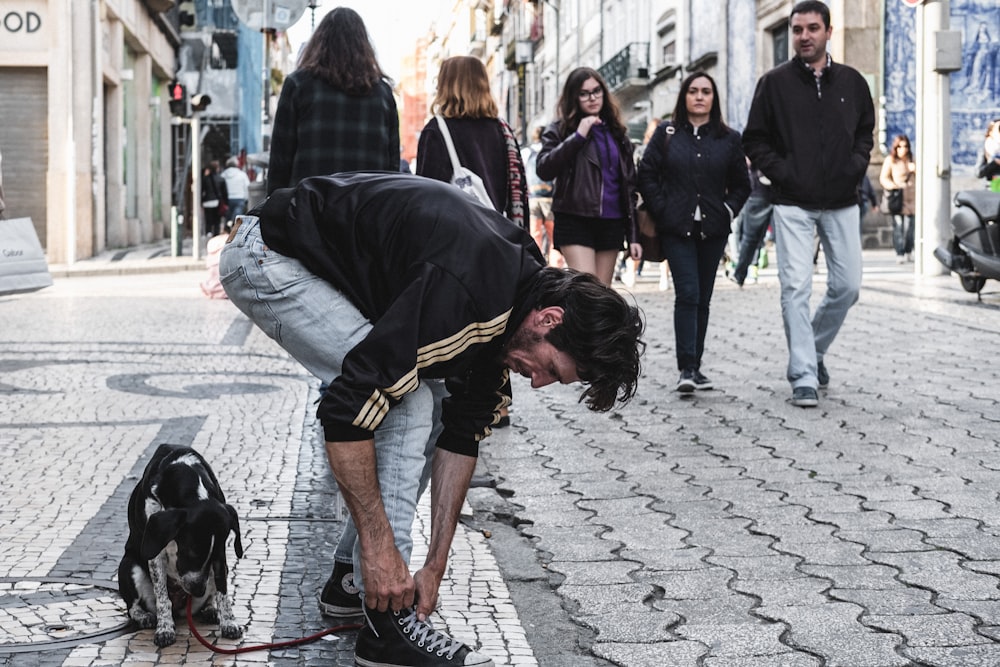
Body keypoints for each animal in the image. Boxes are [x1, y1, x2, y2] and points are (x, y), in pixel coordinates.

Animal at [118, 444, 245, 648]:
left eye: (212, 556)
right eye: (190, 552)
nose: (198, 591)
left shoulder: (219, 556)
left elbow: (222, 590)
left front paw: (229, 622)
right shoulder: (155, 550)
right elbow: (162, 596)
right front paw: (165, 629)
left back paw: (209, 609)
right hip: (128, 566)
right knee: (133, 607)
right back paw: (144, 616)